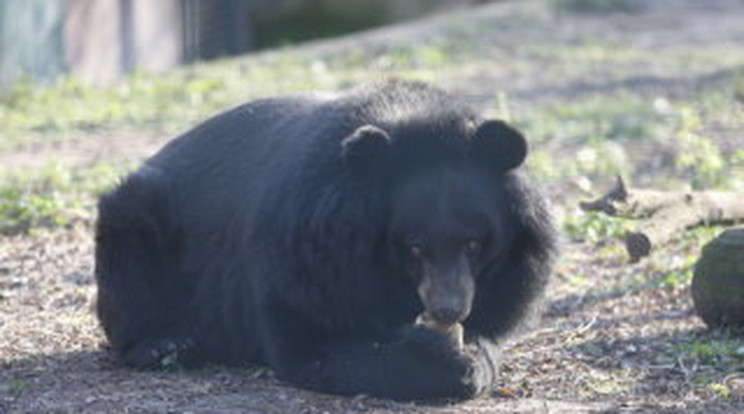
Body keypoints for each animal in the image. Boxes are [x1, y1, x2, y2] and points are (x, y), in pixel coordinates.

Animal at [94, 80, 560, 402]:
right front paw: (435, 356)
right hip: (133, 218)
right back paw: (168, 343)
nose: (449, 308)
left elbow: (493, 325)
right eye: (413, 246)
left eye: (474, 244)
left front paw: (471, 353)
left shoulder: (510, 272)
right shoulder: (304, 256)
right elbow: (309, 344)